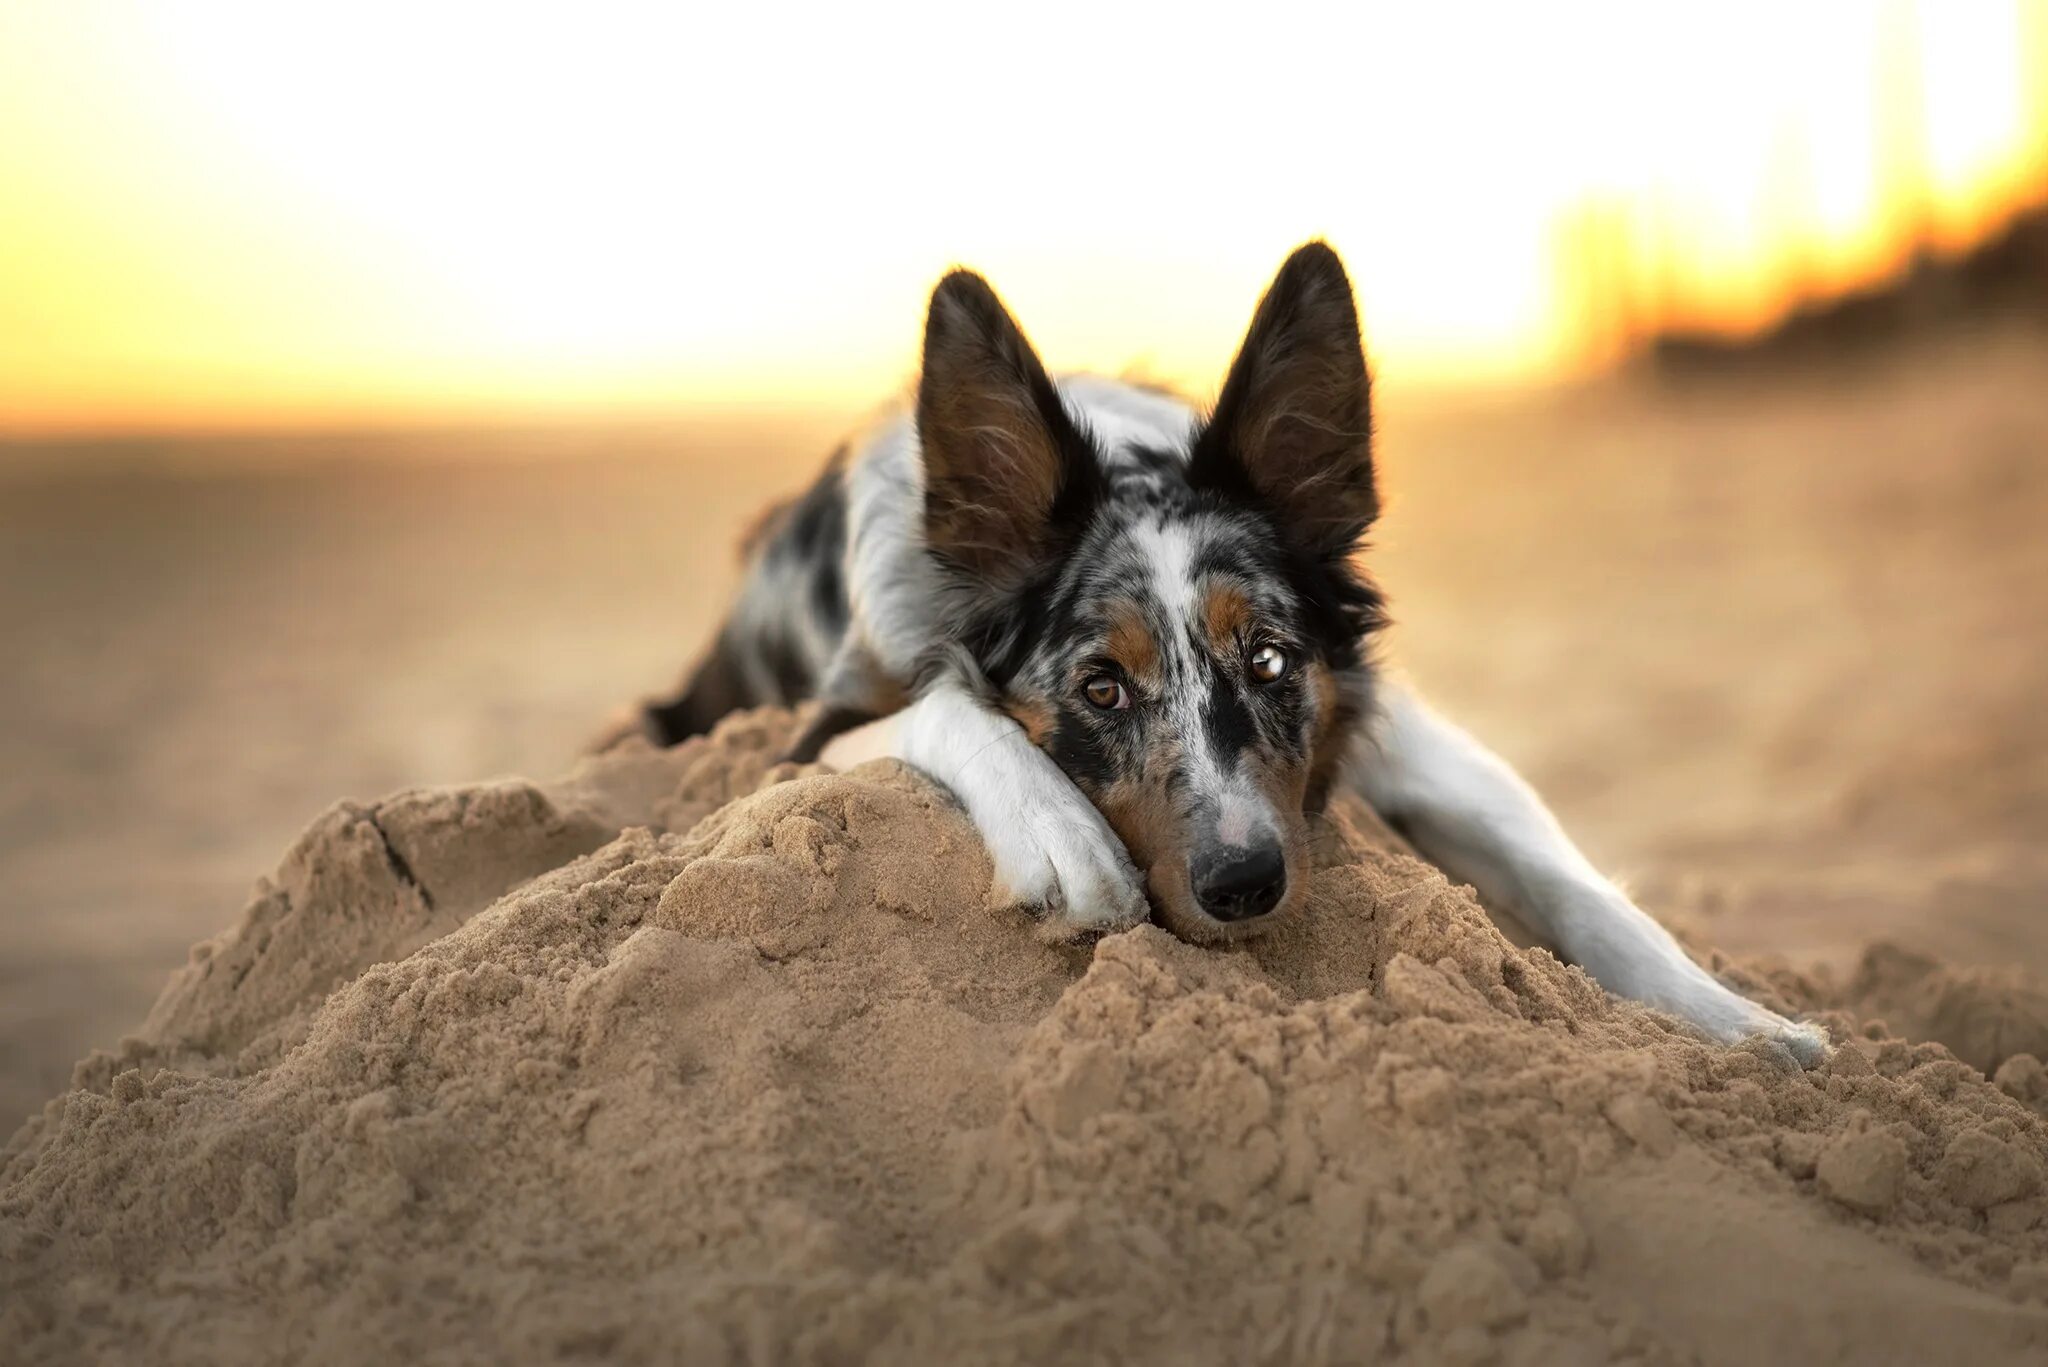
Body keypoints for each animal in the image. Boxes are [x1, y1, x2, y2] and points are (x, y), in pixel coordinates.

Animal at [622, 240, 1826, 1065]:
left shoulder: (1395, 727)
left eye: (1271, 661)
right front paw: (1060, 833)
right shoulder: (805, 728)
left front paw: (1739, 1022)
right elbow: (948, 708)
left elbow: (1561, 873)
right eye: (1099, 687)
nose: (1244, 884)